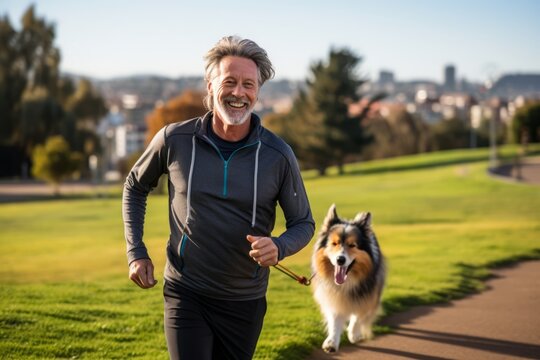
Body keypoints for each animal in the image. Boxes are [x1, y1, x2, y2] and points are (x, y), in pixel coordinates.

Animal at [310, 204, 386, 352]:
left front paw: (354, 334)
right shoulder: (334, 296)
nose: (340, 260)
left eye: (352, 245)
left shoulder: (366, 296)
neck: (347, 283)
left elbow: (357, 317)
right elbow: (335, 319)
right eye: (334, 243)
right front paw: (332, 342)